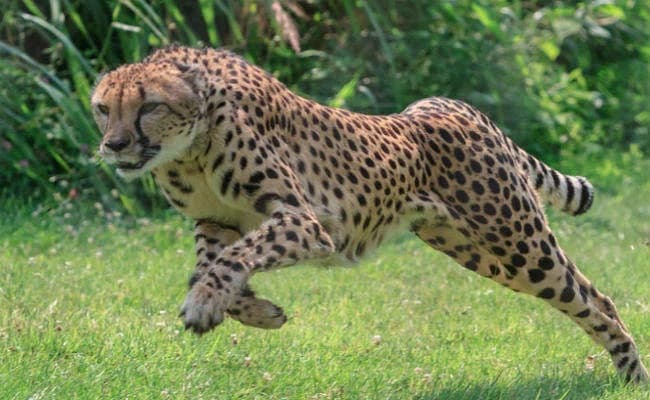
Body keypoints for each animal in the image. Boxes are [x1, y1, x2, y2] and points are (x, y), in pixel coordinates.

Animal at [91, 45, 648, 383]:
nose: (113, 145)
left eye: (149, 106)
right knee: (581, 296)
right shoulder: (217, 222)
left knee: (595, 297)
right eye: (102, 108)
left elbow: (231, 261)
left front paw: (208, 304)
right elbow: (212, 265)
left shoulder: (306, 223)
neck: (189, 147)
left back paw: (632, 374)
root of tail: (454, 105)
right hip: (475, 249)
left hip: (517, 240)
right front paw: (257, 311)